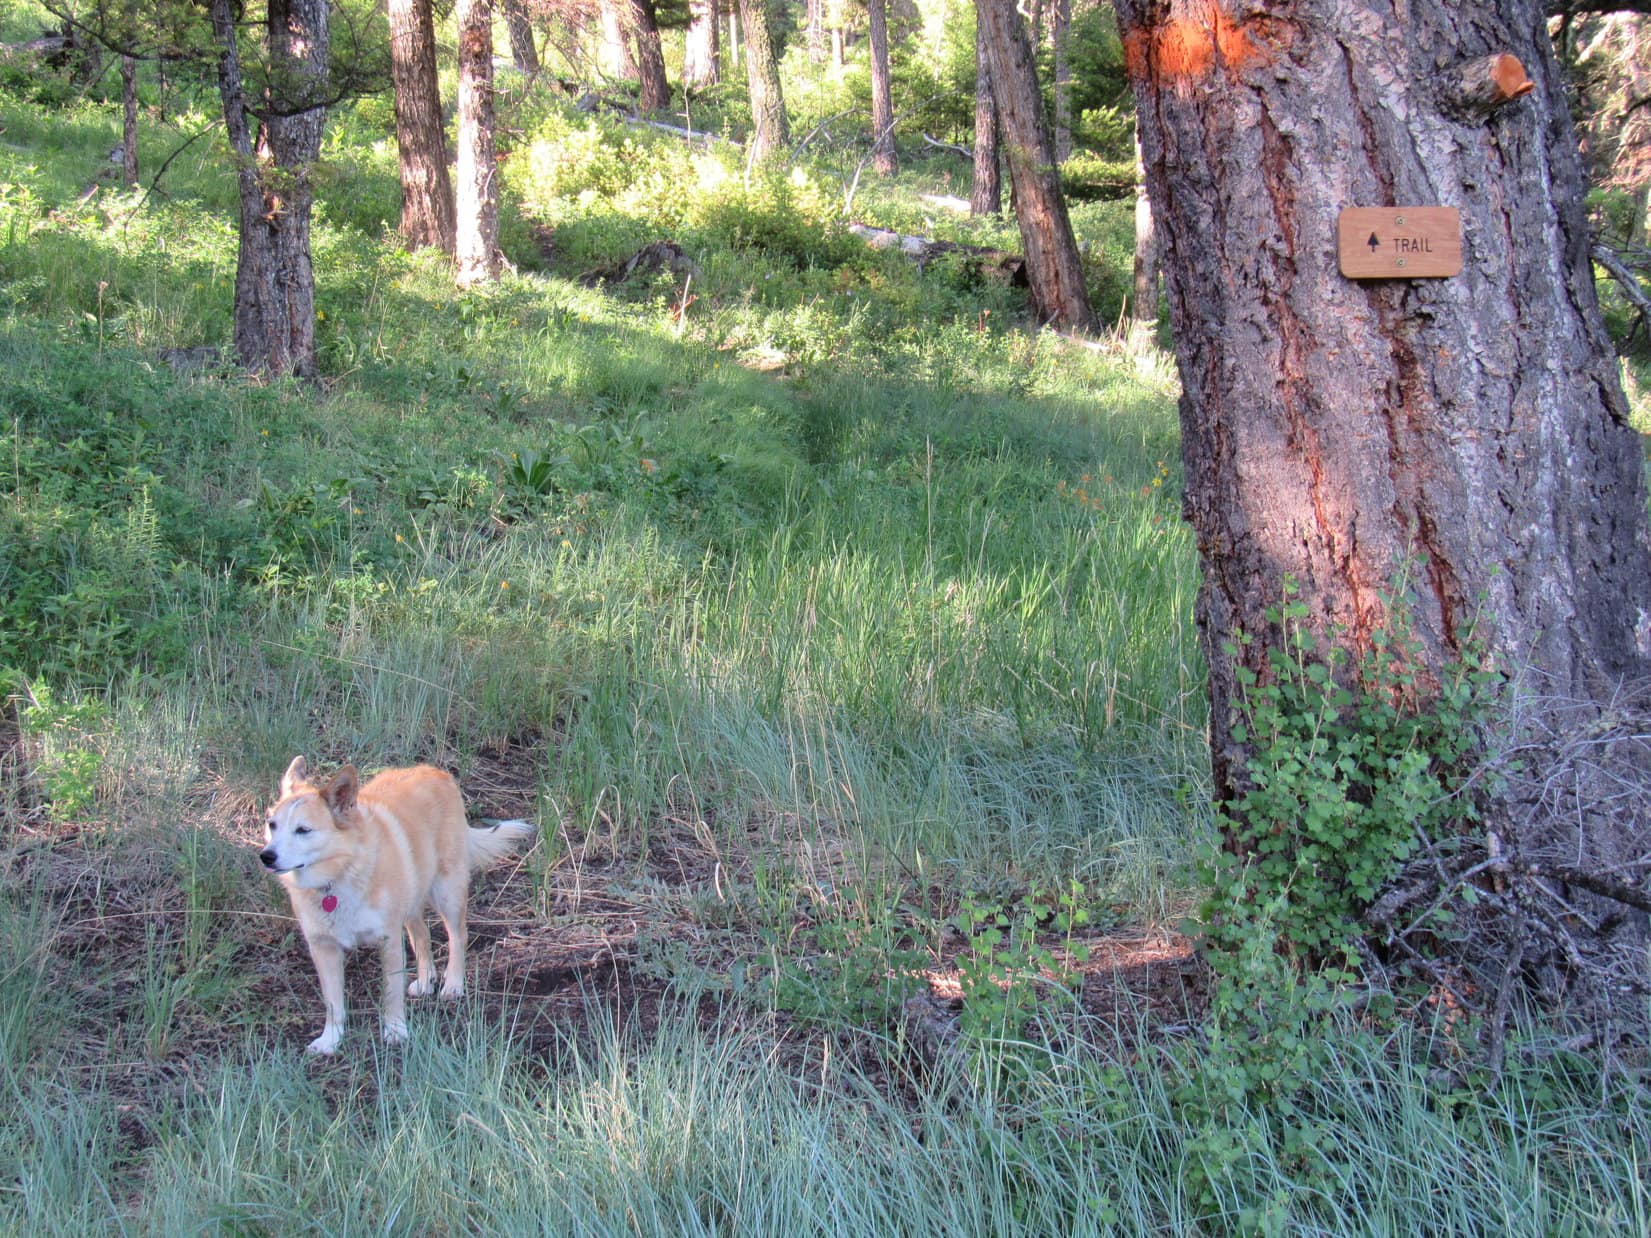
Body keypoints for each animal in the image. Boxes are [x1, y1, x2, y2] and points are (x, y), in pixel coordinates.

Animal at [259, 756, 533, 1054]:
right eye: (272, 825)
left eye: (303, 830)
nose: (266, 856)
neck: (338, 876)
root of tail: (436, 772)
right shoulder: (323, 948)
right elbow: (333, 1003)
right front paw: (330, 1039)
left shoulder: (388, 940)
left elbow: (391, 992)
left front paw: (395, 1030)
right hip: (411, 899)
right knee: (422, 937)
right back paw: (426, 980)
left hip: (447, 893)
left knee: (458, 936)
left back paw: (453, 983)